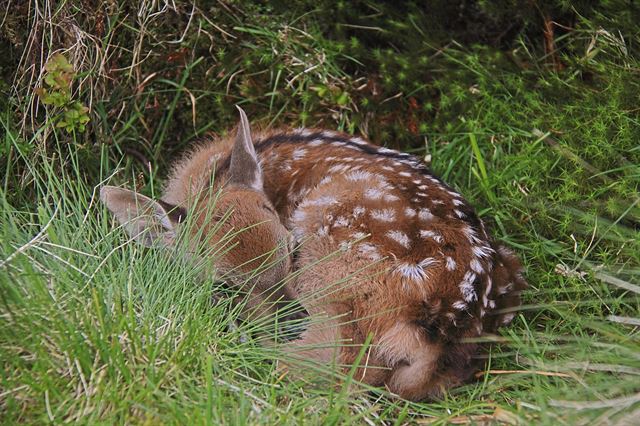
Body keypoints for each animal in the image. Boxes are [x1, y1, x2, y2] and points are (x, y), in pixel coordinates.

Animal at [102, 105, 528, 400]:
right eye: (225, 284)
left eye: (291, 250)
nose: (291, 317)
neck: (207, 180)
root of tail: (446, 325)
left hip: (334, 244)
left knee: (342, 366)